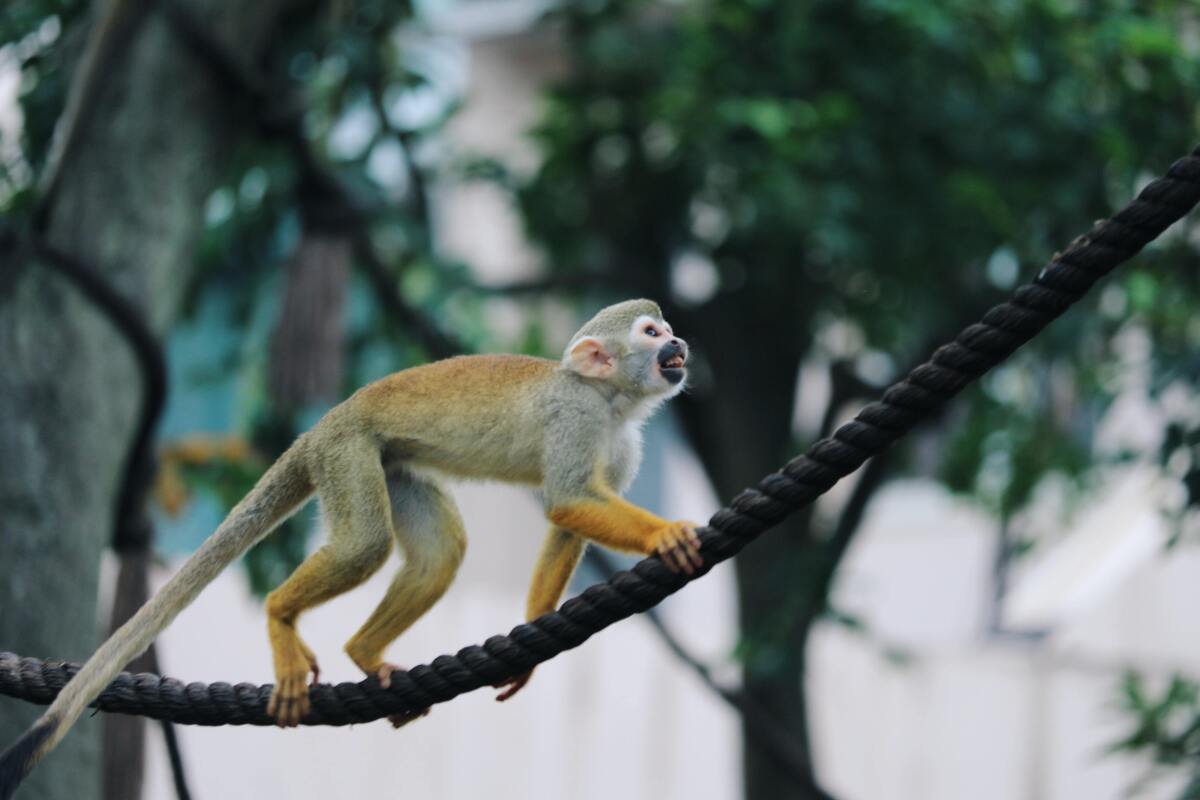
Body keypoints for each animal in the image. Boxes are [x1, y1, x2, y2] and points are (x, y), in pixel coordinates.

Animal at [0, 298, 700, 796]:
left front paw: (529, 639)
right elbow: (567, 501)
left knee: (441, 549)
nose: (679, 344)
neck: (609, 400)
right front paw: (665, 534)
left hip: (389, 461)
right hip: (349, 452)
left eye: (667, 328)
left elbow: (568, 519)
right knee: (366, 543)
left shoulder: (623, 442)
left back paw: (364, 651)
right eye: (649, 332)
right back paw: (281, 614)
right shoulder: (574, 417)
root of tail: (321, 425)